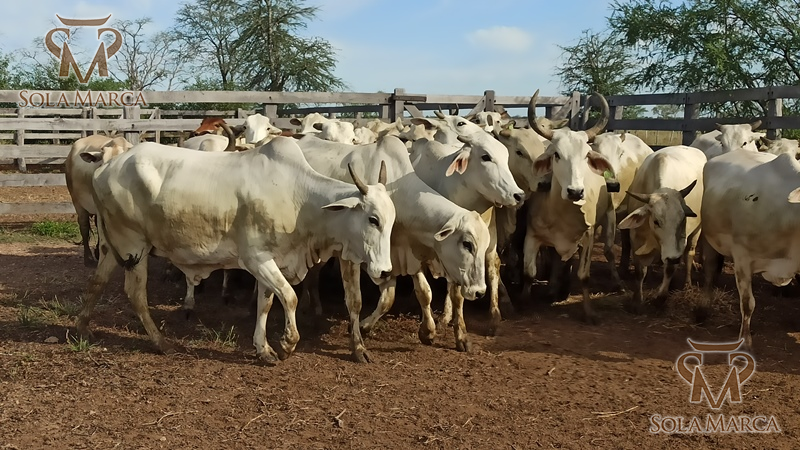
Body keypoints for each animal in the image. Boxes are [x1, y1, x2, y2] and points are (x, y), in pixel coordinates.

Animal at [75, 137, 396, 363]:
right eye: (373, 219)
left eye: (392, 220)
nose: (385, 271)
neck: (300, 198)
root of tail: (105, 168)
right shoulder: (256, 259)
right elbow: (289, 297)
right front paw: (287, 344)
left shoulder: (271, 260)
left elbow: (266, 303)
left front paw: (263, 349)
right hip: (134, 247)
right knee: (136, 294)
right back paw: (160, 342)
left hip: (113, 247)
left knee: (97, 281)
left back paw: (82, 327)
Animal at [296, 134, 491, 352]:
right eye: (467, 244)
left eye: (485, 246)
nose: (480, 292)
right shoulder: (357, 256)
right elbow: (366, 298)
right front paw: (361, 328)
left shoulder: (405, 253)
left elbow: (419, 293)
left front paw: (431, 332)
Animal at [522, 89, 620, 323]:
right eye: (556, 154)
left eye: (586, 155)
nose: (575, 191)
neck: (561, 214)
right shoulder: (532, 235)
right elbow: (529, 273)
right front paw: (523, 303)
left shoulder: (588, 237)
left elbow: (583, 276)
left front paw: (589, 312)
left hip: (609, 217)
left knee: (609, 251)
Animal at [617, 146, 705, 311]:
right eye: (656, 221)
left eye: (682, 220)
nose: (673, 258)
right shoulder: (636, 240)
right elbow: (640, 271)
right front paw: (637, 300)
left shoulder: (678, 245)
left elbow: (670, 268)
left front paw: (661, 297)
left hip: (697, 231)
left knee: (689, 253)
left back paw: (687, 283)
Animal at [700, 149, 800, 351]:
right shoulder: (742, 258)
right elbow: (748, 304)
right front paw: (745, 341)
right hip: (709, 238)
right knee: (710, 269)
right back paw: (704, 306)